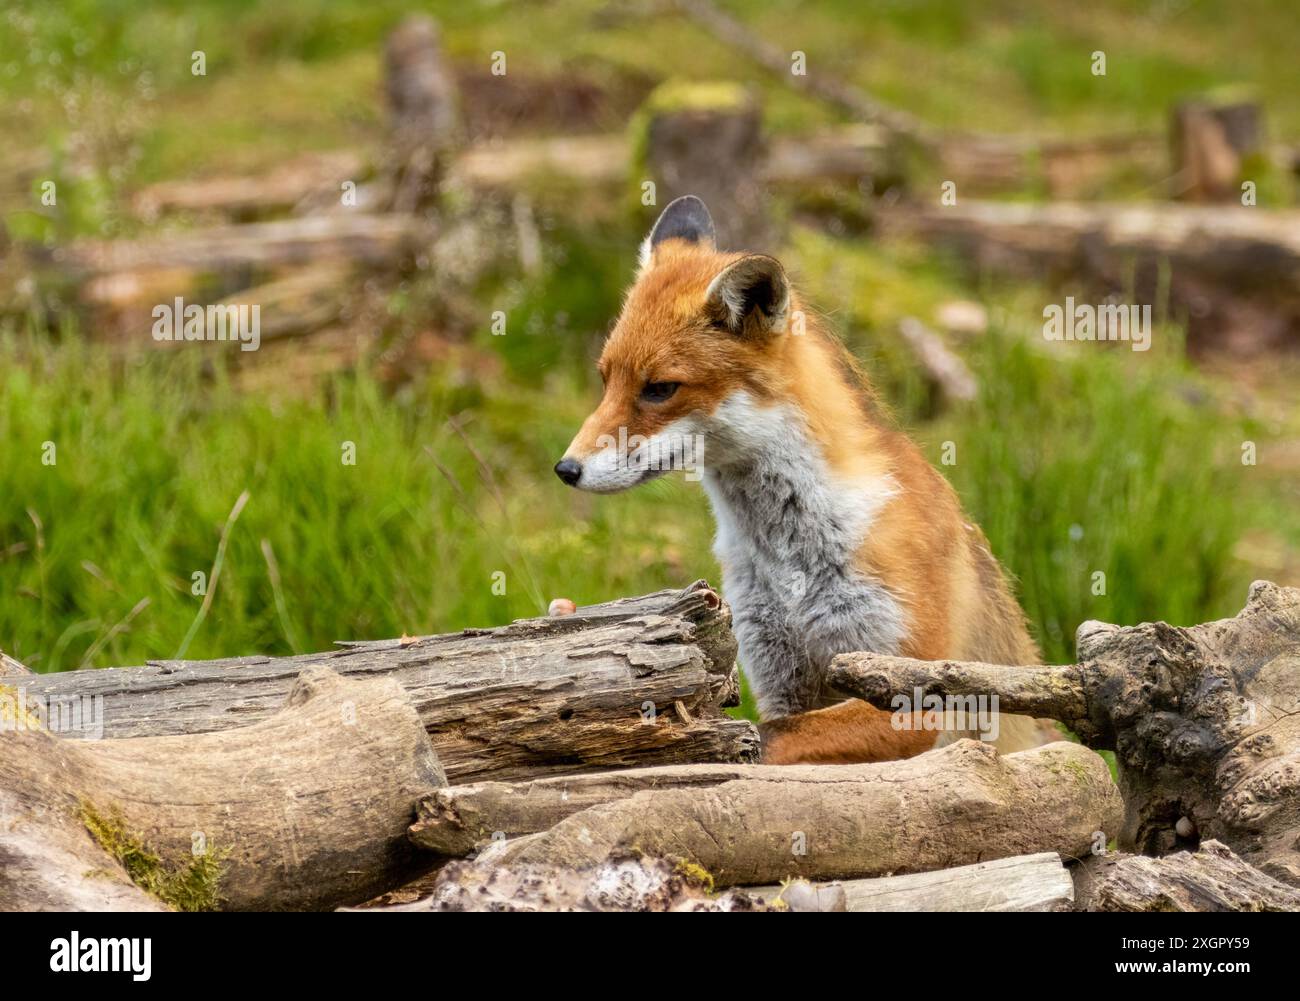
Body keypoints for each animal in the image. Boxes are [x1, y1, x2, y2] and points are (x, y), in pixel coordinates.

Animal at [556, 192, 1055, 764]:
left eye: (659, 388)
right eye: (605, 380)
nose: (566, 469)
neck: (786, 558)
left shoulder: (914, 689)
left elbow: (766, 739)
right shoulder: (779, 672)